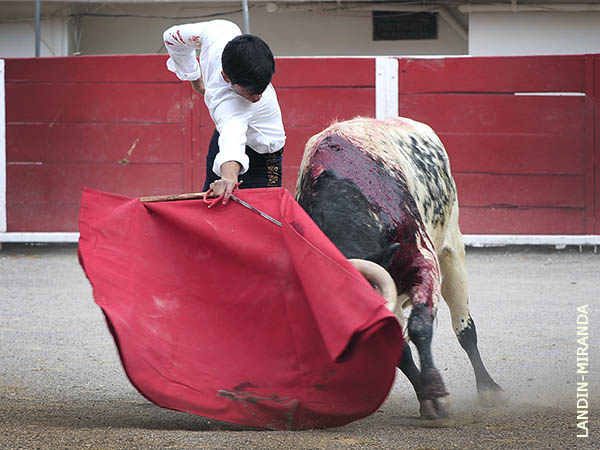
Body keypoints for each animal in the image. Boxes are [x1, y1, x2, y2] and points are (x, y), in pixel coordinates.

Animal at [296, 116, 502, 418]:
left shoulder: (424, 261)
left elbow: (420, 326)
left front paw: (437, 395)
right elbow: (400, 351)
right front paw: (427, 396)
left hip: (452, 251)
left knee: (465, 328)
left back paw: (489, 389)